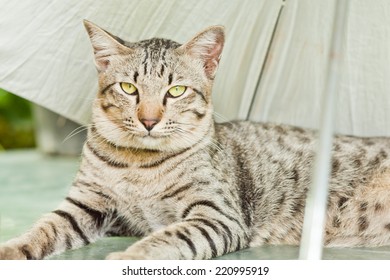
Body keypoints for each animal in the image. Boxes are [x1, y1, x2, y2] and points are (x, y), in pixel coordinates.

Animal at [0, 19, 390, 260]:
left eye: (176, 91)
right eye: (128, 88)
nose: (149, 120)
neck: (138, 164)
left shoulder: (217, 215)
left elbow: (168, 237)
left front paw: (129, 256)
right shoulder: (84, 205)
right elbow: (42, 229)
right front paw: (12, 249)